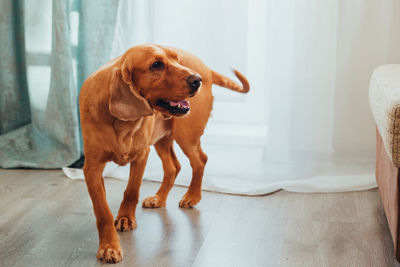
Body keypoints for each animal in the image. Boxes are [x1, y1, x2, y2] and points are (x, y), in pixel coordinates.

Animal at [79, 44, 248, 264]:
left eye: (176, 59)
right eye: (156, 64)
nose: (197, 80)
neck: (123, 123)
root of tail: (205, 69)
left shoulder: (141, 156)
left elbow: (131, 191)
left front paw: (125, 218)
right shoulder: (92, 168)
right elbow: (102, 210)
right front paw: (109, 246)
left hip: (186, 135)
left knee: (200, 160)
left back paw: (192, 196)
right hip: (163, 139)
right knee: (173, 167)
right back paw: (160, 199)